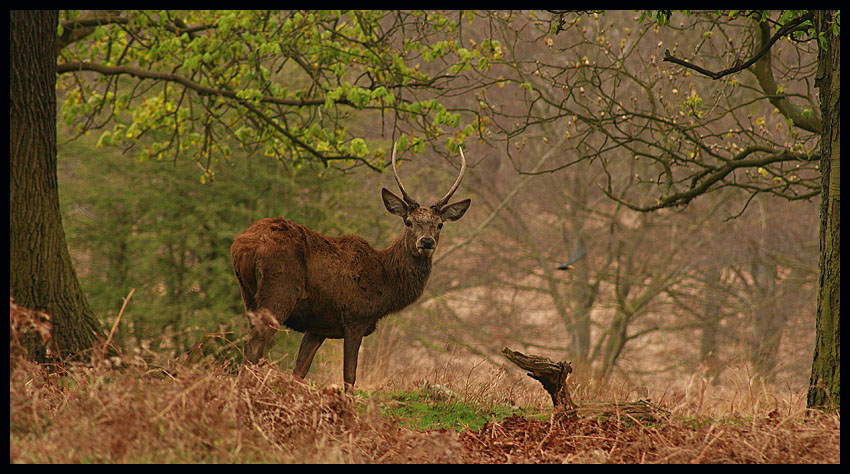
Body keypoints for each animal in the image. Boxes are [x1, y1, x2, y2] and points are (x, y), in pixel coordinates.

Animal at [230, 144, 470, 388]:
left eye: (439, 225)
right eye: (409, 221)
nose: (427, 242)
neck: (385, 283)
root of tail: (243, 245)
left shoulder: (318, 326)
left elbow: (299, 371)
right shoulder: (356, 317)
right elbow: (350, 376)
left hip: (248, 295)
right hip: (280, 290)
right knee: (254, 343)